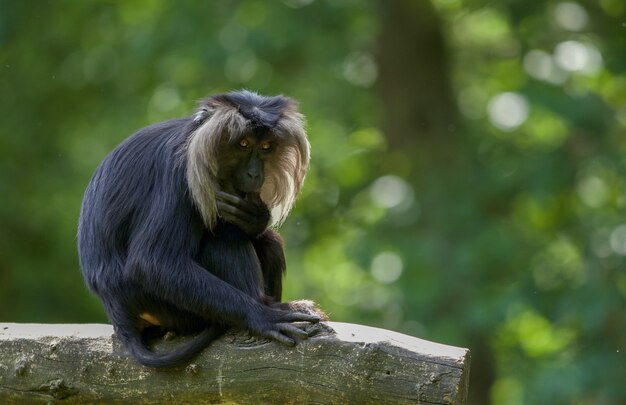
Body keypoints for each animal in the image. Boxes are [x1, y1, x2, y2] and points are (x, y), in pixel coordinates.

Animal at [75, 90, 324, 368]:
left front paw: (255, 217)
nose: (254, 174)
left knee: (267, 241)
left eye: (266, 147)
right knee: (225, 238)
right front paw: (263, 316)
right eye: (243, 144)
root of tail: (120, 316)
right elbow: (151, 263)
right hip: (167, 309)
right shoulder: (180, 175)